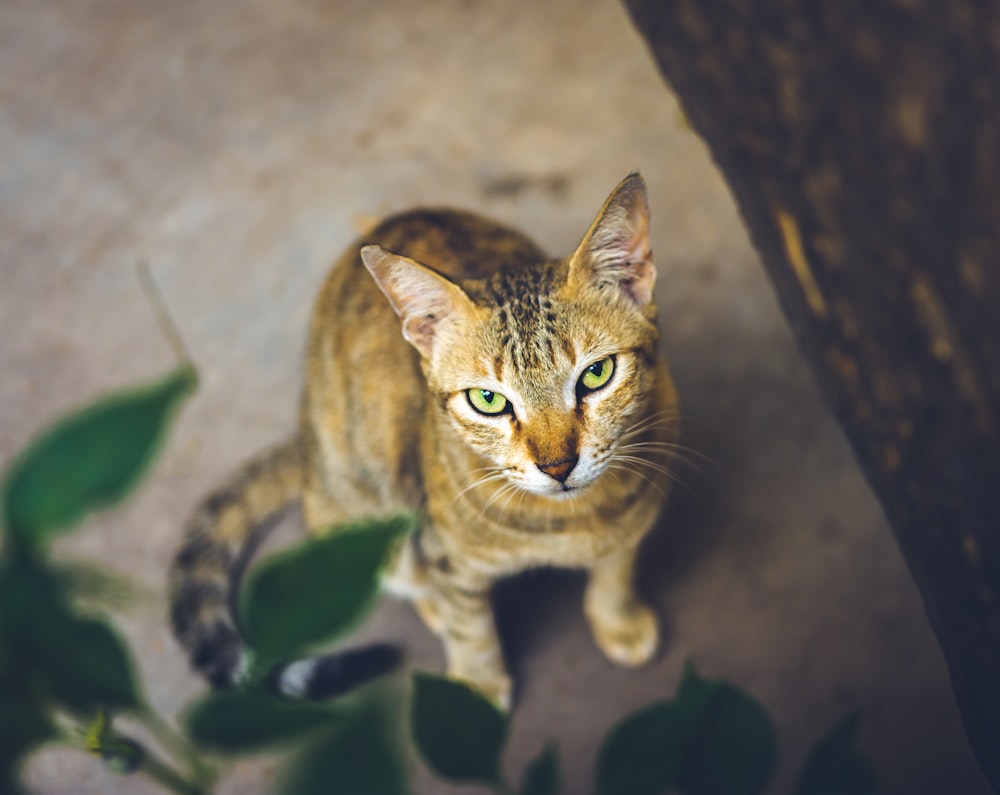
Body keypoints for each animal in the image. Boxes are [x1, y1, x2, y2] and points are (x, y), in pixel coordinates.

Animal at [170, 174, 680, 708]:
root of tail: (306, 447)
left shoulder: (638, 512)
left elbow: (616, 569)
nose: (558, 466)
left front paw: (618, 619)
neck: (570, 523)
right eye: (488, 400)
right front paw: (475, 687)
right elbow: (468, 625)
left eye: (597, 374)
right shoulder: (444, 552)